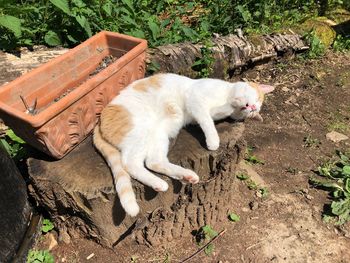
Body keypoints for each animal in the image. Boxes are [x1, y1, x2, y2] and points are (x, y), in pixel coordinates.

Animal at [93, 73, 274, 218]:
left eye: (254, 110)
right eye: (257, 98)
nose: (252, 107)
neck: (226, 96)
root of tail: (99, 121)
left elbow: (215, 114)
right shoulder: (196, 99)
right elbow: (208, 121)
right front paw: (214, 141)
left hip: (159, 133)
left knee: (152, 162)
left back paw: (183, 176)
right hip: (142, 130)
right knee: (130, 163)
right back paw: (160, 181)